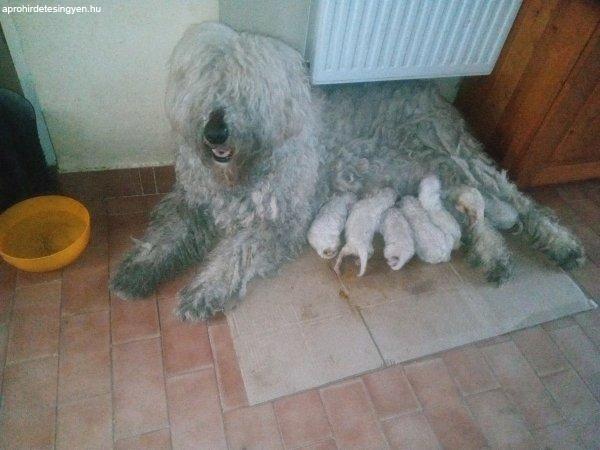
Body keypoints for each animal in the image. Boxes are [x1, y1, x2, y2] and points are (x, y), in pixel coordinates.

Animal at [110, 22, 584, 320]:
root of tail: (433, 90)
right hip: (441, 176)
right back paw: (494, 258)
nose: (215, 131)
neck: (244, 169)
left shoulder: (278, 220)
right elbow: (166, 235)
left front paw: (204, 291)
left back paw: (562, 245)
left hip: (457, 157)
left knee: (521, 203)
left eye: (247, 90)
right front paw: (138, 271)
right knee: (475, 213)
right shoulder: (191, 201)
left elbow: (234, 254)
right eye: (208, 83)